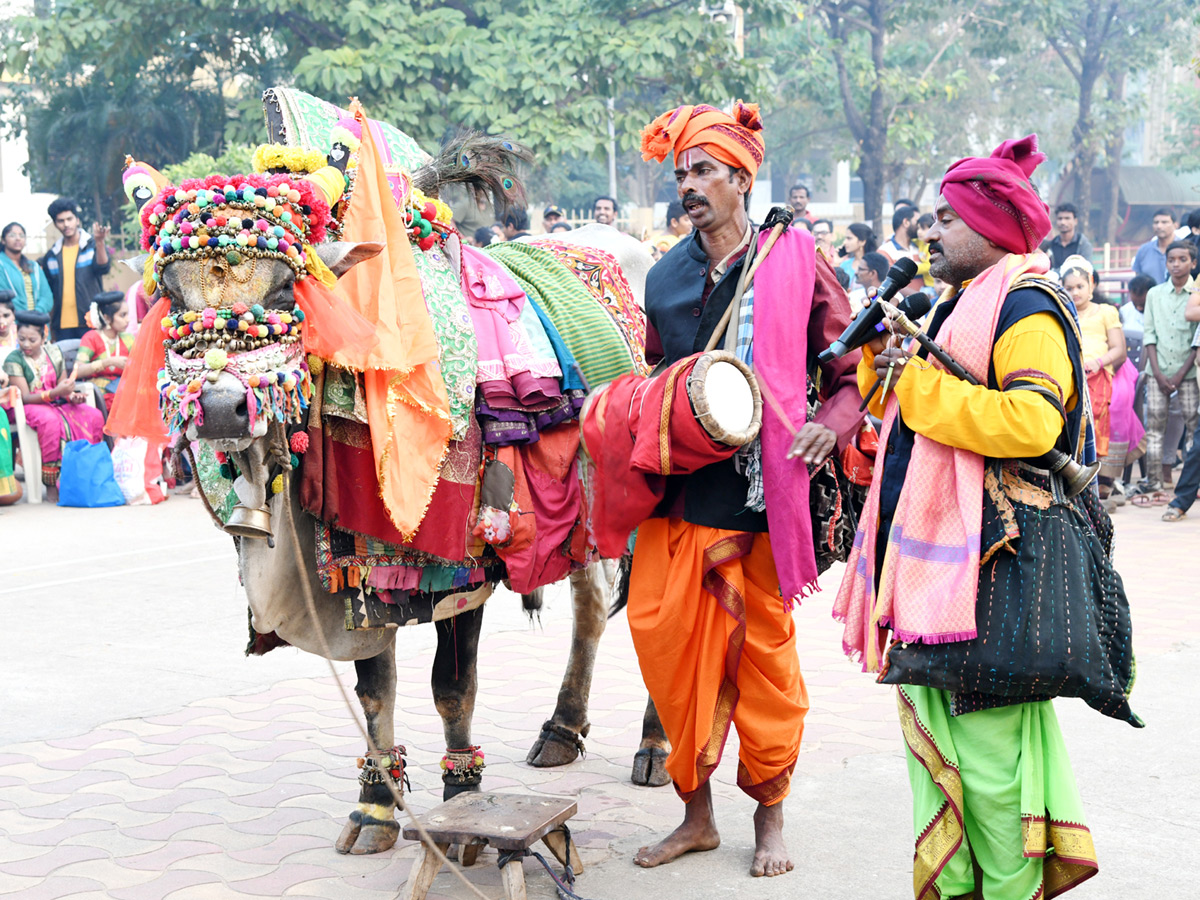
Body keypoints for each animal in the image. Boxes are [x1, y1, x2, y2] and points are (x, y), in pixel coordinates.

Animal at [109, 93, 662, 859]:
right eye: (169, 291)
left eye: (287, 288)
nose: (221, 407)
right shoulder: (360, 566)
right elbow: (376, 688)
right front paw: (375, 805)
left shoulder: (459, 564)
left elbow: (451, 685)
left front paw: (464, 799)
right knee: (591, 601)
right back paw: (561, 728)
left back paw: (656, 745)